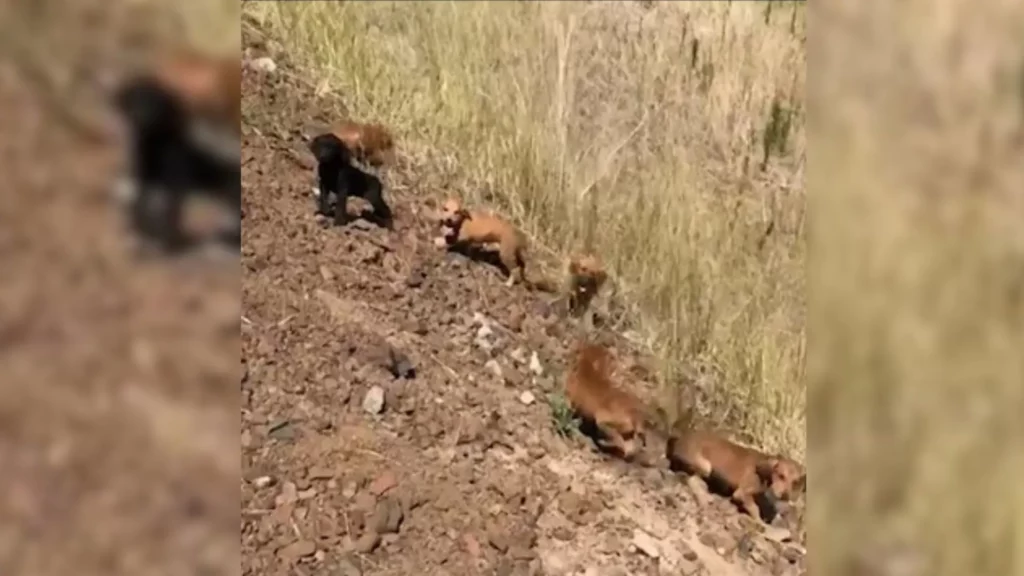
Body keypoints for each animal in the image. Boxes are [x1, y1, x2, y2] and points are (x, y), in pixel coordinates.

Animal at [113, 73, 240, 251]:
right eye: (135, 97)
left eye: (157, 102)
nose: (141, 114)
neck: (155, 145)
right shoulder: (143, 178)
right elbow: (139, 206)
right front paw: (139, 231)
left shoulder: (176, 183)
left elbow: (170, 214)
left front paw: (165, 242)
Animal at [663, 407, 806, 520]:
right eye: (781, 476)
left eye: (795, 482)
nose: (785, 496)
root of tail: (679, 438)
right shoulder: (741, 493)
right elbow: (754, 508)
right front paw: (760, 522)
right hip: (706, 467)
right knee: (690, 479)